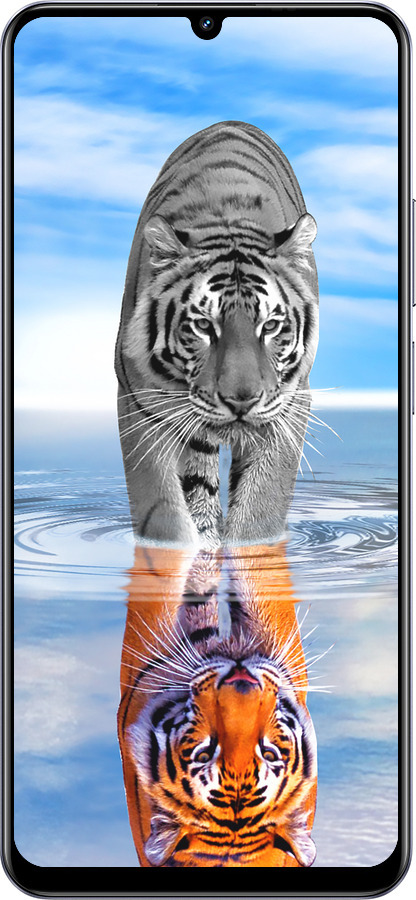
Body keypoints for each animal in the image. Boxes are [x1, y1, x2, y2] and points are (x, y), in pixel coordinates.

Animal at [115, 120, 319, 549]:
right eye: (204, 326)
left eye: (270, 326)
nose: (241, 400)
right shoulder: (139, 401)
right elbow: (163, 512)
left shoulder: (290, 404)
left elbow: (260, 509)